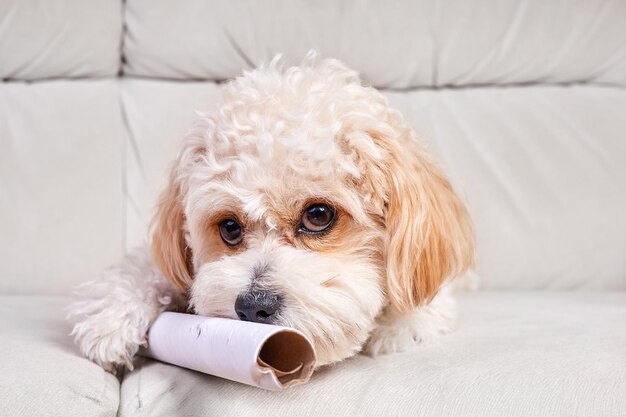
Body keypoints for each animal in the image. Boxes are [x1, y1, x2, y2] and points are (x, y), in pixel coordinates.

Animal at [67, 54, 472, 370]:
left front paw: (398, 328)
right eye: (229, 227)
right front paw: (111, 318)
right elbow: (144, 268)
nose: (252, 307)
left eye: (319, 215)